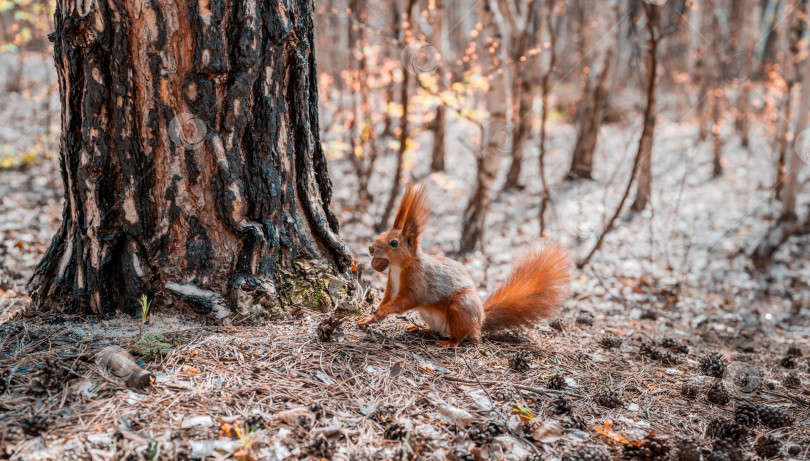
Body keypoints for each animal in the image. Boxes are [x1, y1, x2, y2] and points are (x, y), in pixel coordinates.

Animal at [356, 183, 572, 344]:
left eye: (394, 243)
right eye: (383, 232)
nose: (370, 248)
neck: (399, 267)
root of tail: (480, 321)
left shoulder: (417, 282)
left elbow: (407, 301)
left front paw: (382, 312)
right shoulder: (392, 283)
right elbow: (387, 298)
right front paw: (370, 317)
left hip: (461, 308)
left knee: (463, 337)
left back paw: (449, 343)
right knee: (440, 331)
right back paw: (420, 329)